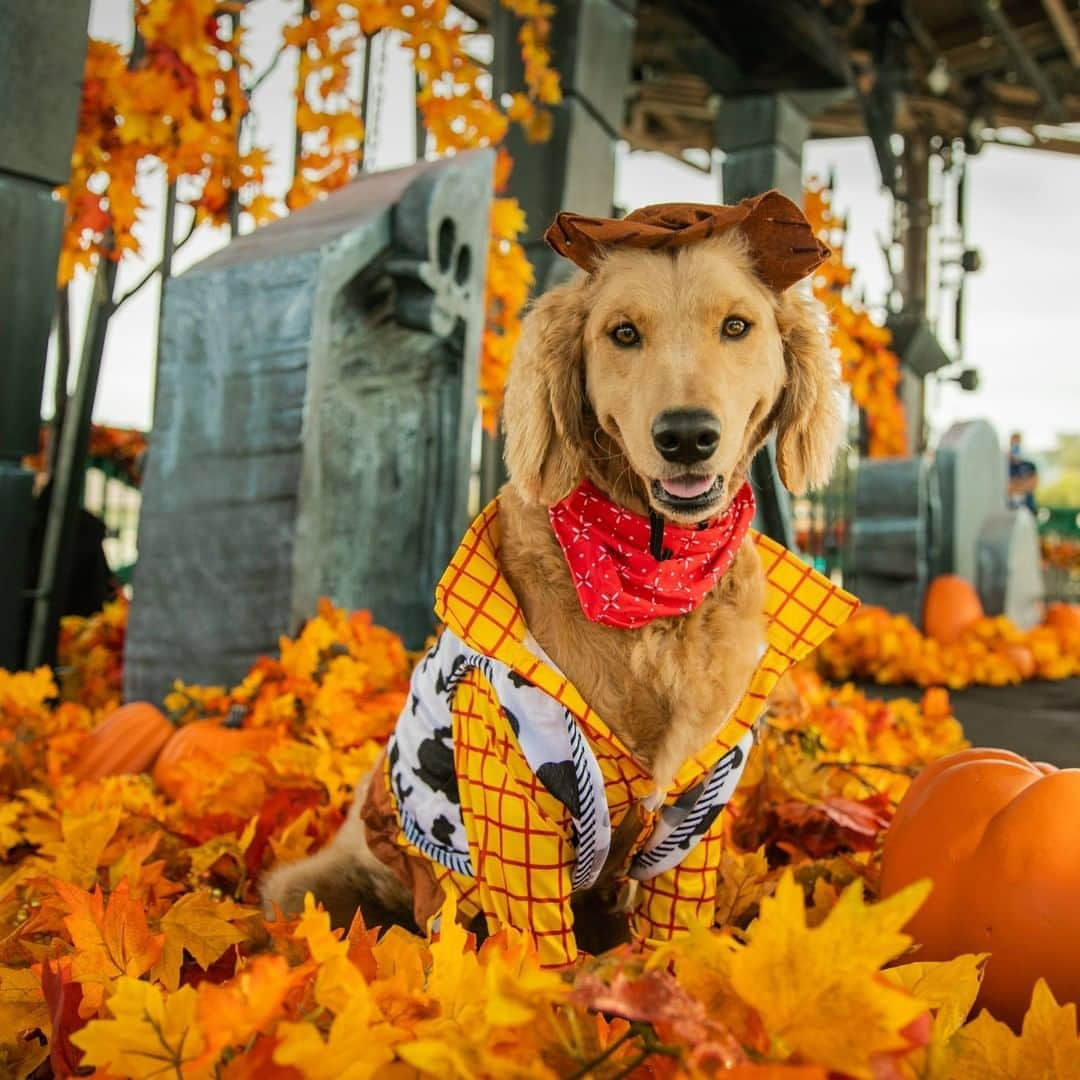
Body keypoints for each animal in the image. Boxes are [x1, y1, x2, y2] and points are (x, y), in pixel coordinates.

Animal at [261, 192, 842, 954]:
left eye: (737, 326)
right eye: (623, 333)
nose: (686, 435)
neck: (653, 574)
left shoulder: (699, 802)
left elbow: (673, 931)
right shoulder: (513, 781)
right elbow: (533, 941)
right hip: (330, 881)